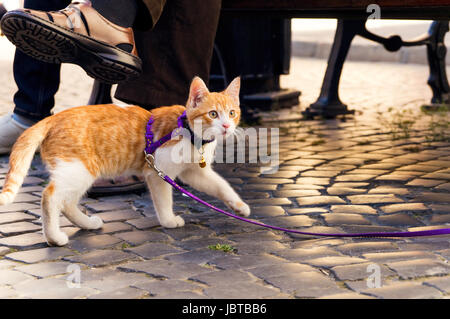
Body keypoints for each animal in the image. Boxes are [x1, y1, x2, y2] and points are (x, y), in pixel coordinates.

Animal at [0, 77, 250, 248]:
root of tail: (53, 118)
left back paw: (87, 224)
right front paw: (169, 220)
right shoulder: (157, 171)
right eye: (213, 114)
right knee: (50, 197)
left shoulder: (194, 173)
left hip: (78, 173)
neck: (190, 134)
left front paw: (239, 206)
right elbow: (163, 200)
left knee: (67, 202)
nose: (226, 126)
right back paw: (54, 237)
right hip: (77, 170)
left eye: (232, 113)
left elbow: (220, 186)